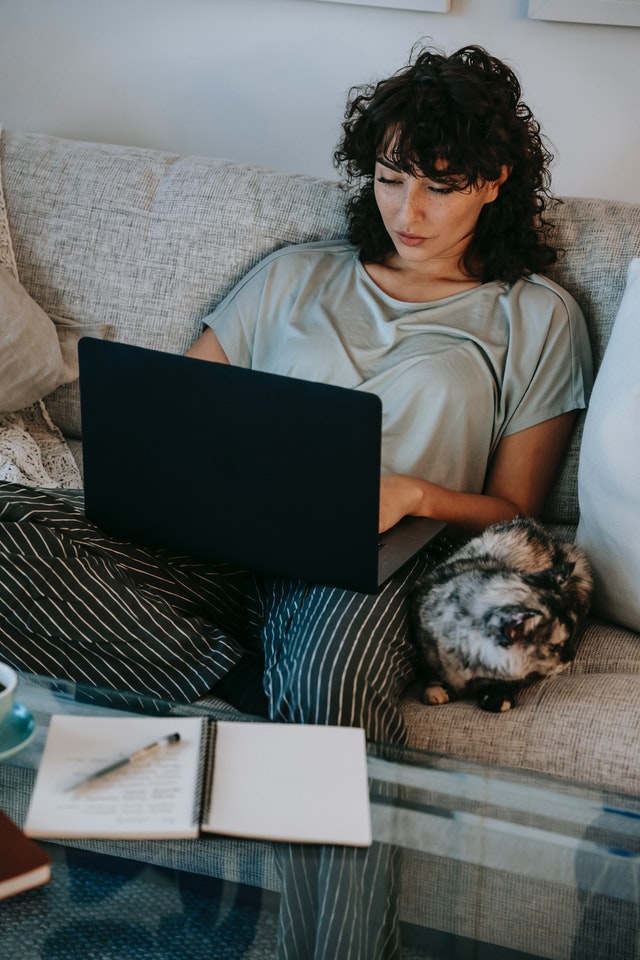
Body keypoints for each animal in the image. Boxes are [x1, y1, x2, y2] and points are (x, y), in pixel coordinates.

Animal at [412, 516, 592, 712]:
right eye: (556, 646)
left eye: (570, 638)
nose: (573, 654)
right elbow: (431, 672)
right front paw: (435, 690)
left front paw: (495, 696)